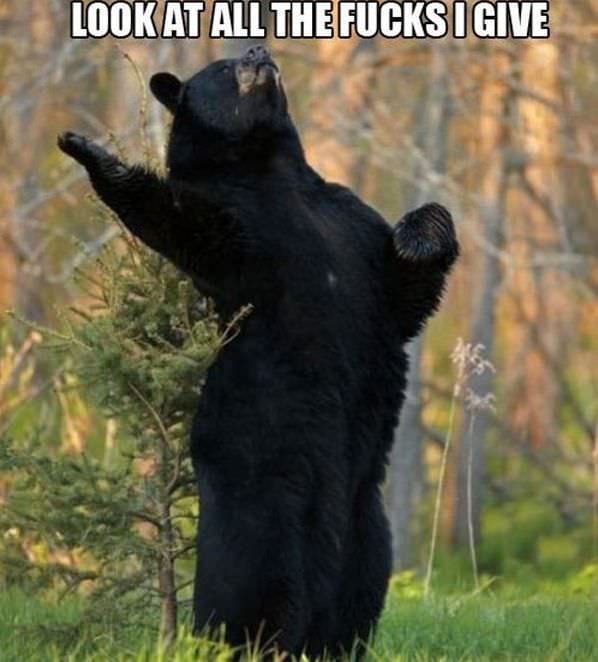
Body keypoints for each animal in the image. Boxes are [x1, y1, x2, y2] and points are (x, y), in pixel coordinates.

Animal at [58, 45, 458, 659]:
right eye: (224, 66)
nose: (258, 51)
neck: (272, 170)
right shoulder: (244, 233)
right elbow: (183, 223)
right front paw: (93, 151)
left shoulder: (352, 225)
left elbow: (405, 292)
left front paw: (419, 233)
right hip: (263, 495)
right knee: (252, 585)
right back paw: (230, 639)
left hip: (366, 515)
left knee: (364, 584)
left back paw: (338, 641)